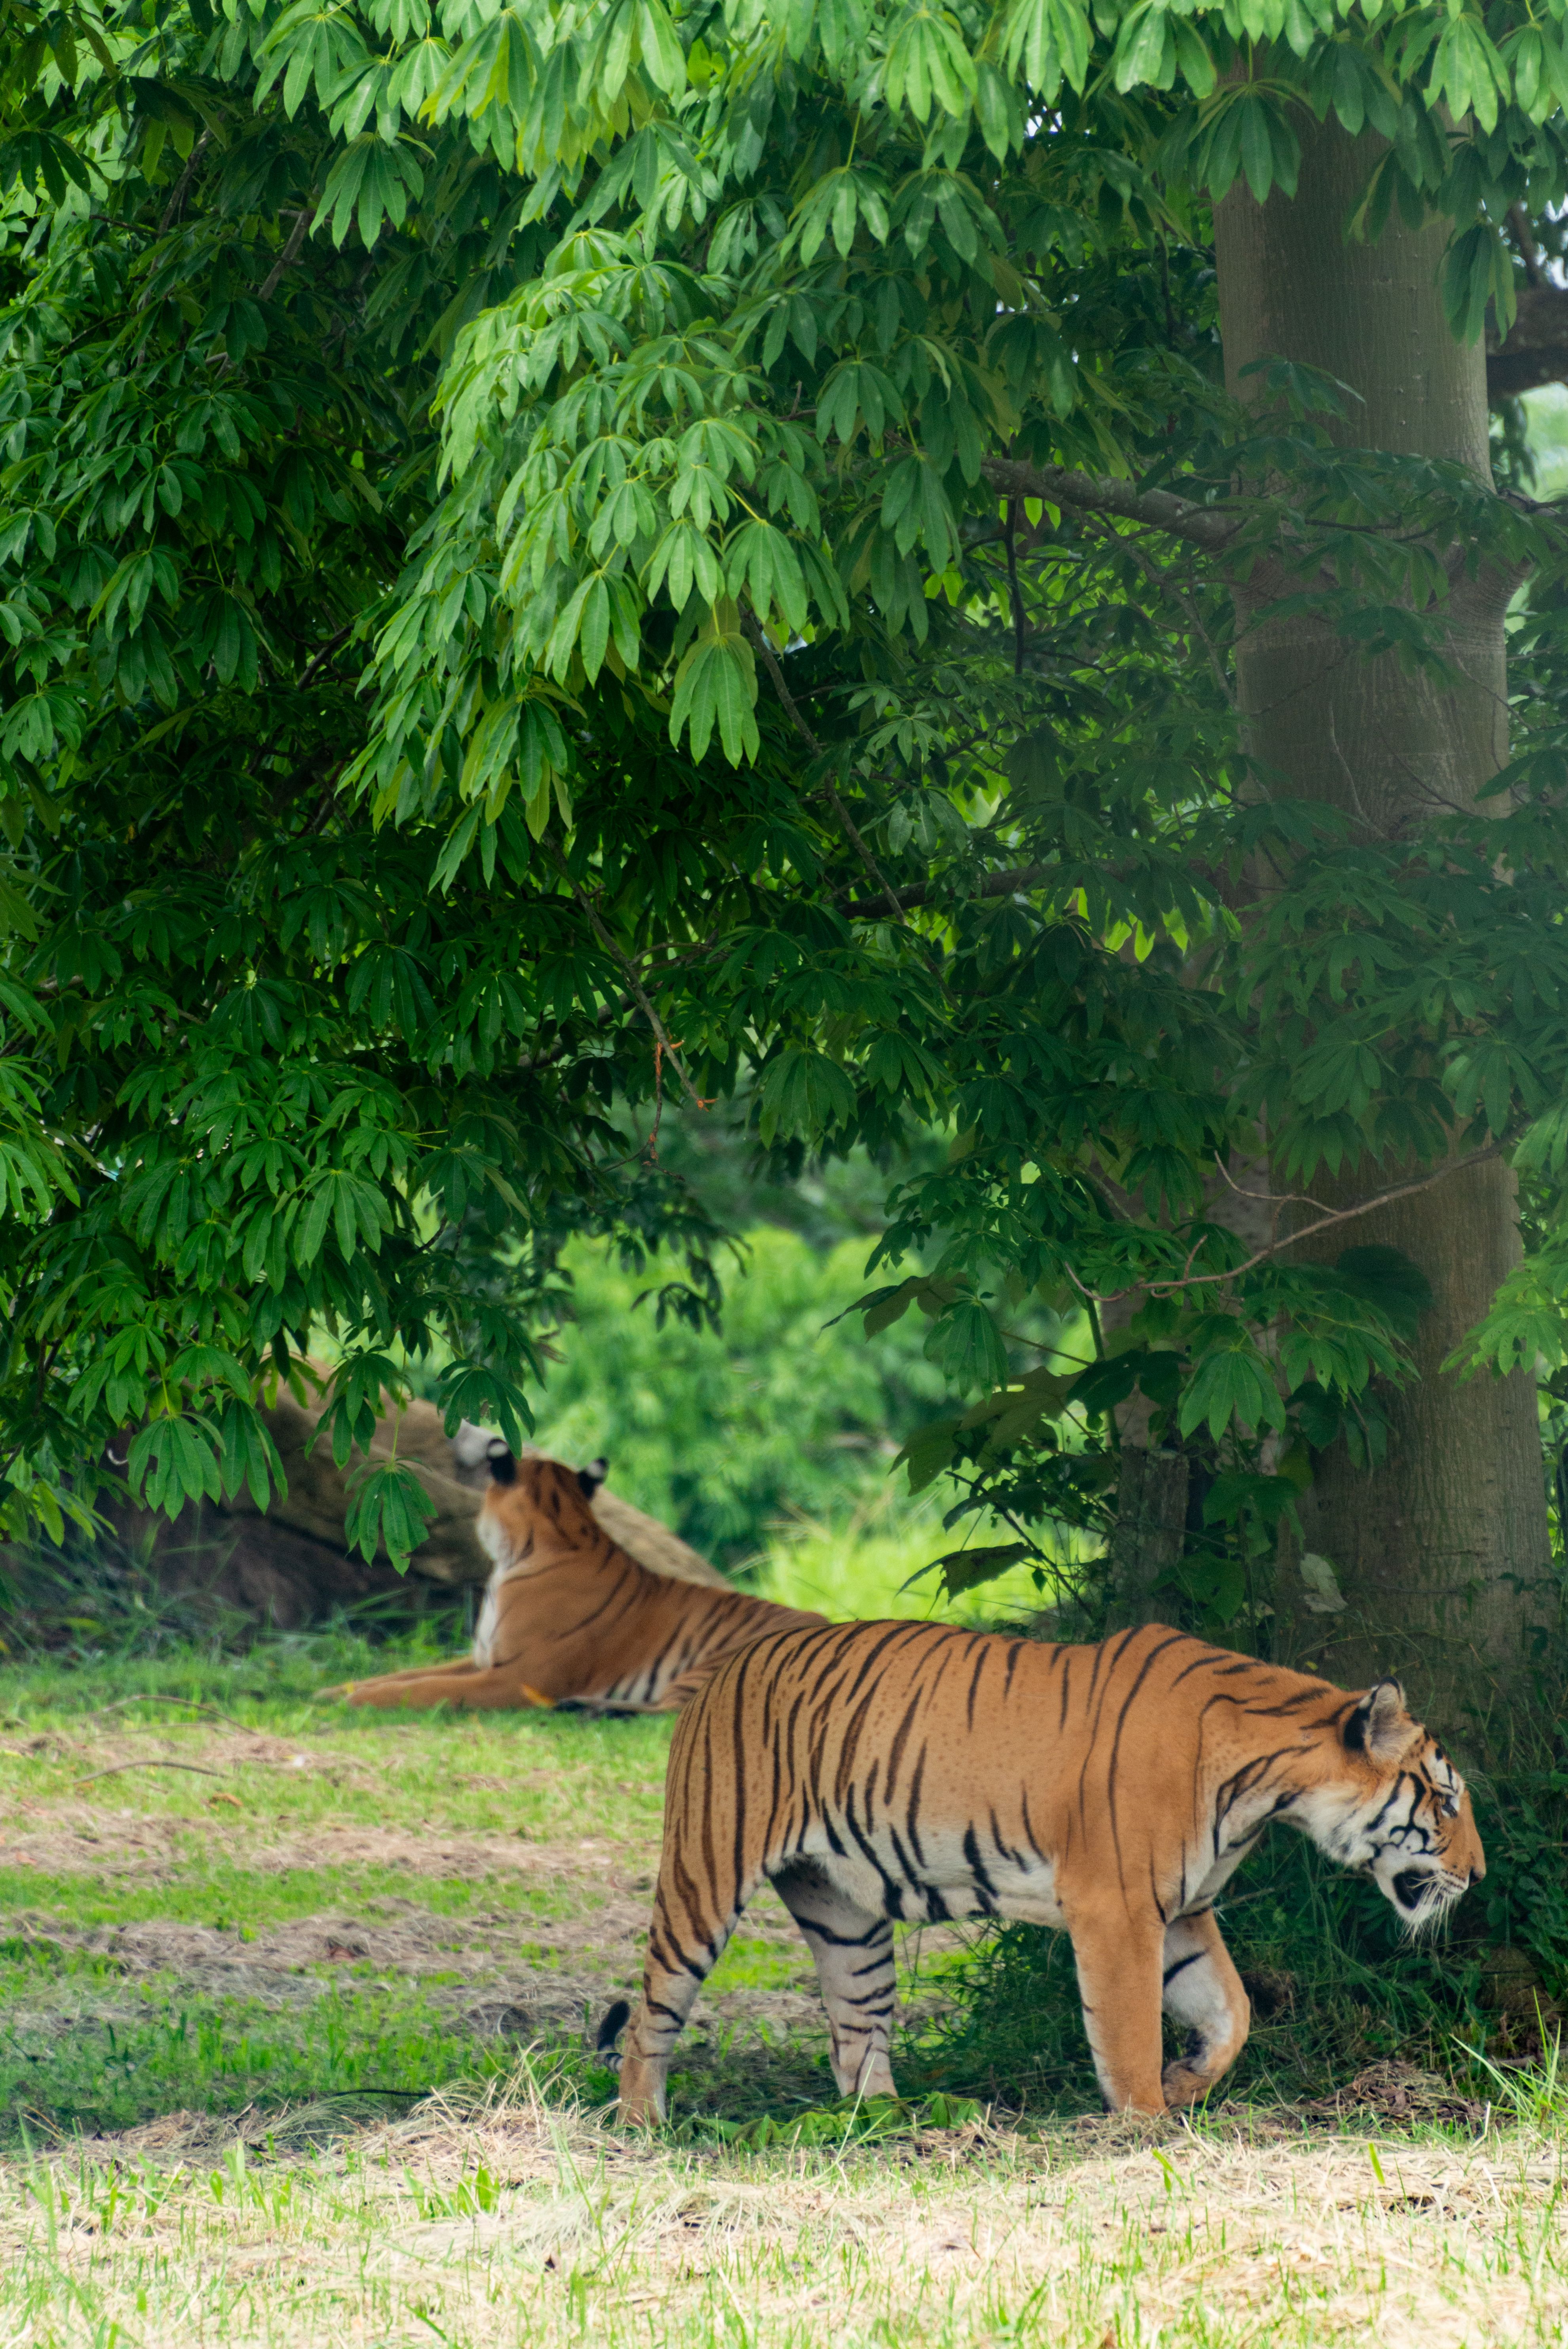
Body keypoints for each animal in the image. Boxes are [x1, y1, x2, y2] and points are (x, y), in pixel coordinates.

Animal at [339, 1448, 827, 1713]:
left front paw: (352, 1702)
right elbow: (403, 1674)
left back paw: (588, 1708)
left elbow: (427, 1687)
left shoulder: (518, 1676)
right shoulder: (483, 1659)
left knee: (668, 1711)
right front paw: (336, 1691)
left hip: (722, 1661)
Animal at [599, 1616, 1484, 2119]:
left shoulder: (1182, 1910)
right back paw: (644, 2126)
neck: (1266, 1788)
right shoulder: (1116, 1907)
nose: (1476, 1875)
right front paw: (1146, 2120)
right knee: (651, 2013)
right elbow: (1125, 2029)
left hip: (844, 1915)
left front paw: (1188, 2080)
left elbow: (1230, 2010)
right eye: (1443, 1800)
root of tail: (724, 1666)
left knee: (854, 2034)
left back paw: (886, 2125)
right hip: (703, 1873)